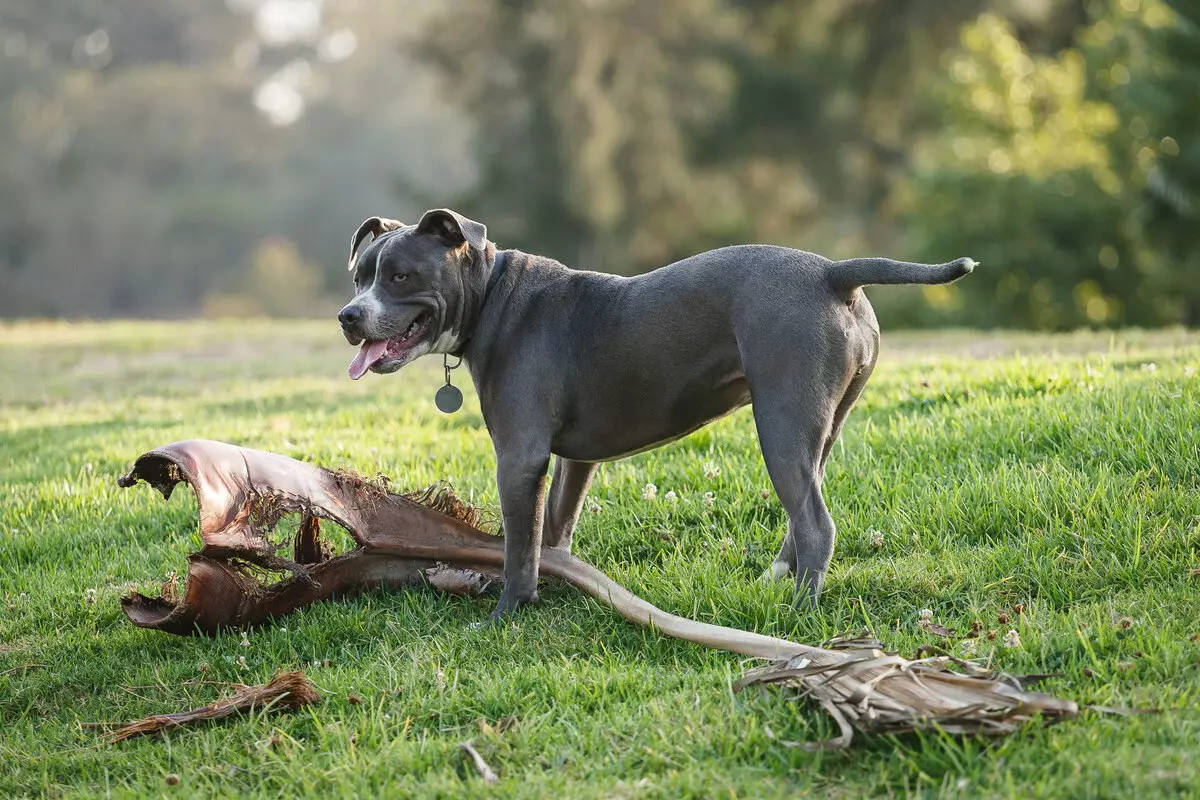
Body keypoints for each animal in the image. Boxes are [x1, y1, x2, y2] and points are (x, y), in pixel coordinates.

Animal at [338, 206, 974, 618]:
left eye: (400, 275)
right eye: (359, 275)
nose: (348, 315)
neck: (494, 295)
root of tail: (831, 272)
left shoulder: (519, 459)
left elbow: (521, 544)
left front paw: (510, 610)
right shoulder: (572, 461)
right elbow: (556, 529)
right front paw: (561, 584)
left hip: (783, 425)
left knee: (816, 524)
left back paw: (799, 612)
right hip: (819, 429)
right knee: (805, 508)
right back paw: (778, 580)